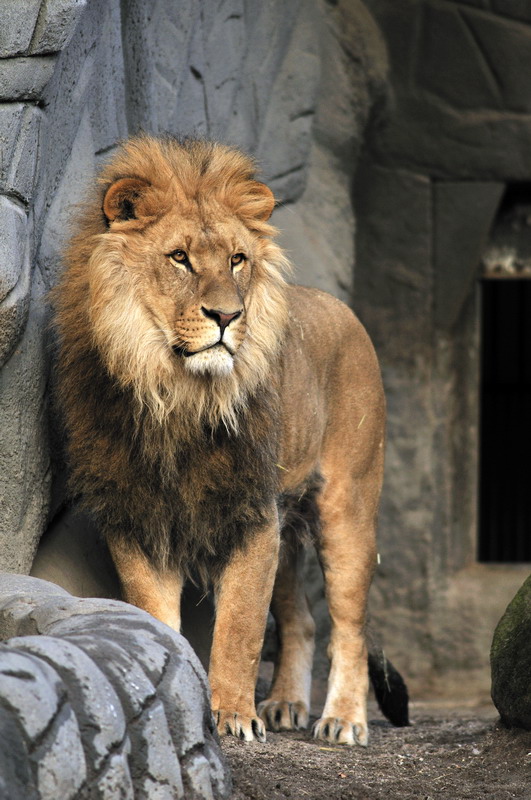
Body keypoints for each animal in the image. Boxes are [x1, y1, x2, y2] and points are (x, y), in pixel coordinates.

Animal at [53, 135, 406, 746]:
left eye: (237, 260)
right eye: (179, 258)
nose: (227, 315)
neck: (177, 396)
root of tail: (341, 306)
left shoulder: (252, 513)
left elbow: (240, 628)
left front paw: (233, 716)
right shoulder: (137, 514)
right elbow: (156, 615)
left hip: (348, 506)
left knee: (350, 626)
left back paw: (343, 719)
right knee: (301, 618)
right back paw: (286, 704)